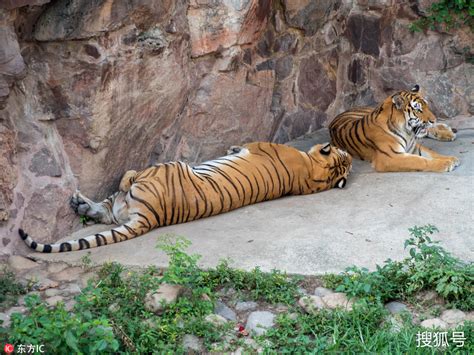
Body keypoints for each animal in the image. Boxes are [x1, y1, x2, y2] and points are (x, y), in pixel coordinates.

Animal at [18, 142, 352, 253]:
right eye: (345, 156)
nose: (348, 153)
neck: (313, 175)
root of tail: (150, 218)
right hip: (127, 204)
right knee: (106, 210)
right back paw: (80, 204)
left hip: (164, 168)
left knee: (124, 184)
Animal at [330, 84, 460, 172]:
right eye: (418, 109)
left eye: (426, 106)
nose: (434, 120)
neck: (408, 132)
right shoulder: (390, 157)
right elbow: (419, 160)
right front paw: (446, 163)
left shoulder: (413, 147)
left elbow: (432, 153)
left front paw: (451, 158)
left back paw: (447, 132)